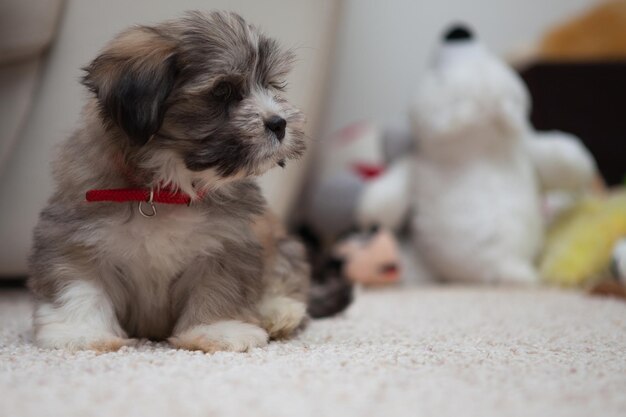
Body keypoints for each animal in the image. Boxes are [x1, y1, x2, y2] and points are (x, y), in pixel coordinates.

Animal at [28, 10, 310, 352]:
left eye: (271, 85)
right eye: (223, 90)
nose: (279, 123)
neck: (167, 189)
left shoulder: (226, 245)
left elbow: (218, 288)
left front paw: (217, 330)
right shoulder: (74, 238)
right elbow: (81, 284)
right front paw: (81, 332)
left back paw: (278, 312)